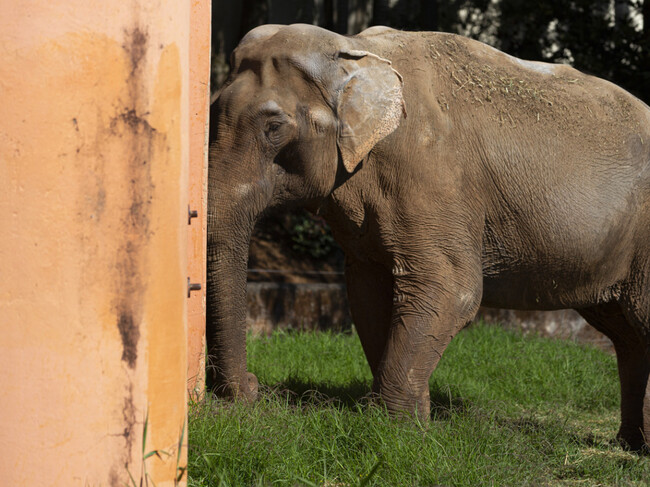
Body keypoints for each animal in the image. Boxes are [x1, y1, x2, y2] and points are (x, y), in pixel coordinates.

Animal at [207, 24, 650, 450]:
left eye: (273, 128)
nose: (253, 389)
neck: (356, 50)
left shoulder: (433, 177)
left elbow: (450, 288)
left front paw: (395, 429)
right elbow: (368, 292)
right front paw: (415, 420)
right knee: (628, 336)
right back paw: (631, 445)